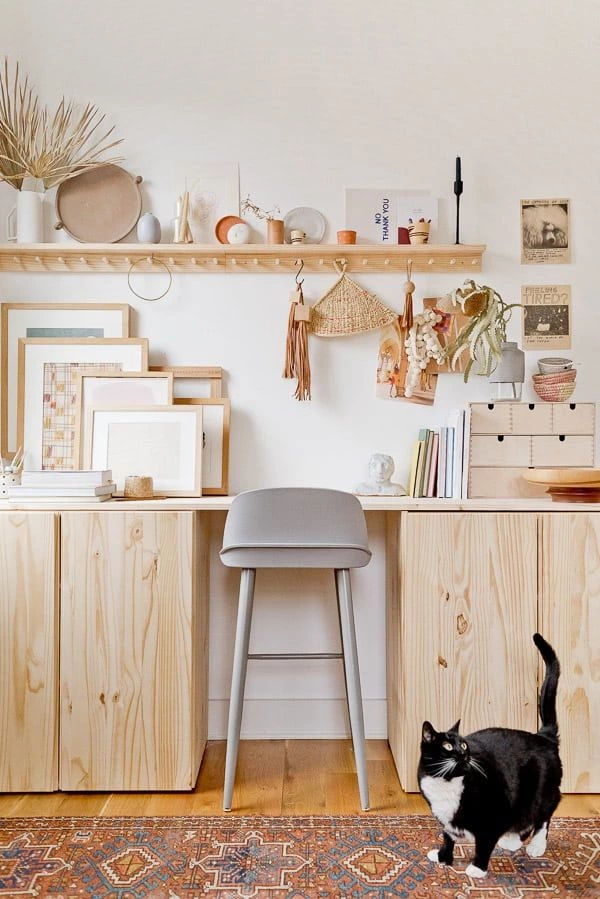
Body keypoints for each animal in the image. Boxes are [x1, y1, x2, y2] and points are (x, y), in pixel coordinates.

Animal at [420, 632, 560, 880]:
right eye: (447, 746)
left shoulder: (494, 812)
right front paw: (443, 857)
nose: (463, 755)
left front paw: (477, 868)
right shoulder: (445, 818)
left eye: (463, 745)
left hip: (542, 790)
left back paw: (536, 846)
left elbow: (484, 842)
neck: (446, 784)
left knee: (544, 814)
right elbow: (447, 836)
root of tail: (544, 736)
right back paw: (512, 841)